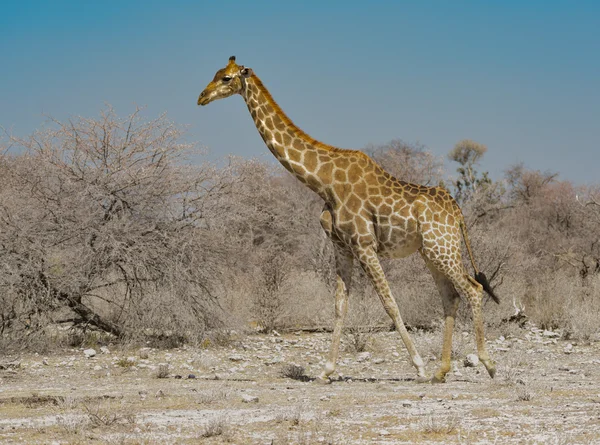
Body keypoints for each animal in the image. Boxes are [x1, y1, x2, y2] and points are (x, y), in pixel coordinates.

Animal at [199, 55, 500, 382]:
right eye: (216, 73)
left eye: (226, 78)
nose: (201, 97)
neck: (323, 182)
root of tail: (457, 211)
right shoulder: (341, 245)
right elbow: (340, 306)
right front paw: (326, 370)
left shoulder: (363, 244)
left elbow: (389, 303)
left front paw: (418, 366)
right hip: (431, 252)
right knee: (451, 297)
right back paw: (441, 371)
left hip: (442, 247)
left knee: (473, 289)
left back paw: (487, 364)